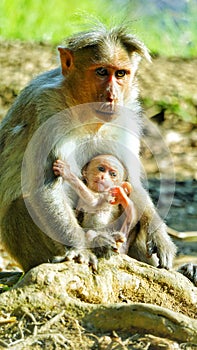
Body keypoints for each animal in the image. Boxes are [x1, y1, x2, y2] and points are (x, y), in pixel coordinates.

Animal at [0, 24, 178, 274]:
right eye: (101, 72)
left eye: (120, 74)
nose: (112, 96)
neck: (85, 114)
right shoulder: (45, 108)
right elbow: (44, 187)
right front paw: (81, 247)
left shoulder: (125, 117)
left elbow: (130, 182)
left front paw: (159, 236)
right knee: (21, 204)